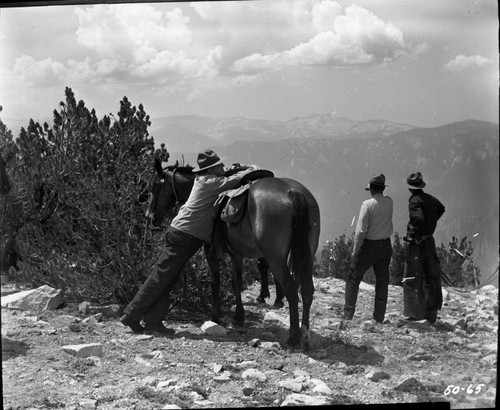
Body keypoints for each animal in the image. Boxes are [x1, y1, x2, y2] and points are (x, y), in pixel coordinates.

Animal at [147, 162, 320, 350]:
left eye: (155, 186)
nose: (149, 217)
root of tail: (293, 192)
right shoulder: (237, 255)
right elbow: (236, 281)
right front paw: (239, 316)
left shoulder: (211, 252)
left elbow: (215, 282)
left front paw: (215, 316)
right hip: (307, 257)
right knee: (307, 290)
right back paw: (305, 336)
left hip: (276, 259)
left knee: (291, 288)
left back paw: (293, 337)